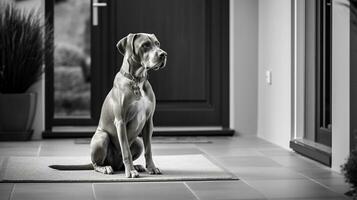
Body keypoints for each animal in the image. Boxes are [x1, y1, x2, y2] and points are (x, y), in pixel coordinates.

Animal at [48, 32, 167, 178]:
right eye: (145, 45)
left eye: (157, 43)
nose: (163, 54)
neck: (136, 80)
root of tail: (114, 164)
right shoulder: (120, 121)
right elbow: (126, 150)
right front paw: (130, 171)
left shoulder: (149, 121)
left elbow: (148, 149)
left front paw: (151, 167)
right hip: (102, 138)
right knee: (96, 164)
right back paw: (106, 168)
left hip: (138, 142)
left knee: (124, 161)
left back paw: (136, 166)